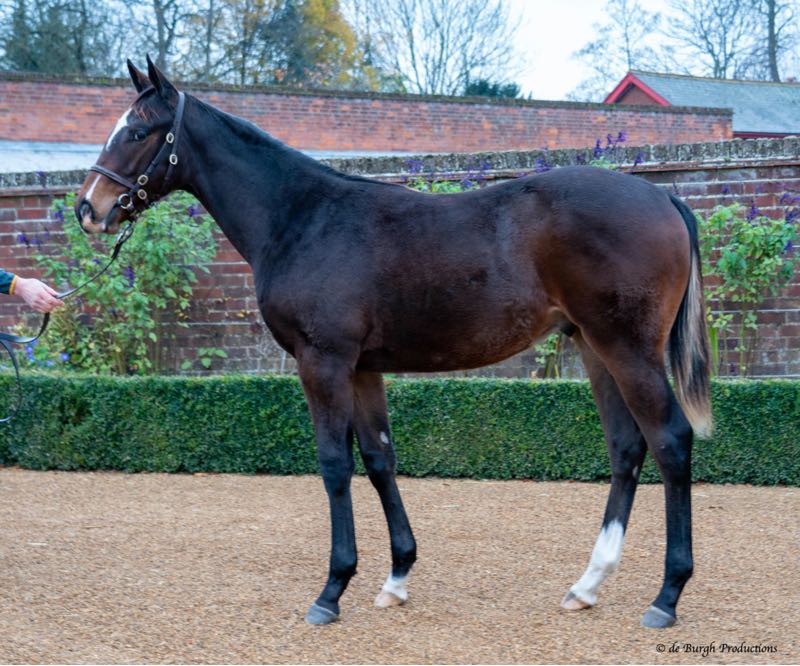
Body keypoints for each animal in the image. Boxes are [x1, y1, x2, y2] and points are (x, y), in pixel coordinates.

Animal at [74, 56, 711, 629]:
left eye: (137, 131)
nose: (88, 208)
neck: (301, 219)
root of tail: (663, 198)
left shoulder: (323, 361)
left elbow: (334, 463)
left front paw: (331, 590)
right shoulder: (361, 367)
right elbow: (380, 457)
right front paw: (397, 576)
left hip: (626, 349)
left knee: (670, 440)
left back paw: (667, 596)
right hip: (594, 347)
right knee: (626, 448)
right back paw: (586, 586)